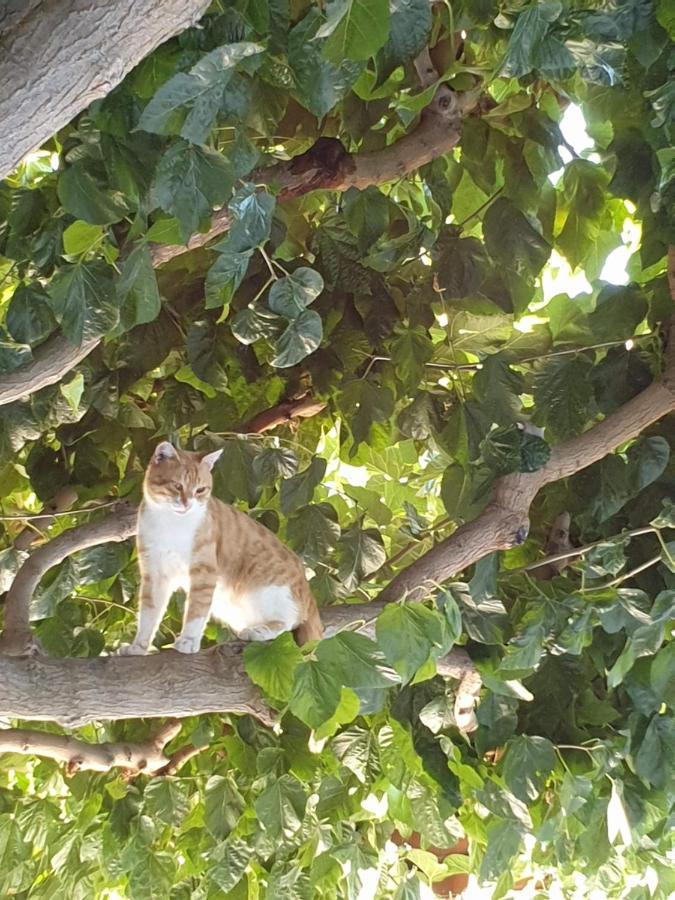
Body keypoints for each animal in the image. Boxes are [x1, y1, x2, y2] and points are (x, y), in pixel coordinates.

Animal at [120, 442, 324, 652]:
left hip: (267, 588)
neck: (170, 524)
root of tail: (307, 590)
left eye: (200, 490)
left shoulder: (204, 572)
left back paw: (259, 631)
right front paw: (138, 647)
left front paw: (188, 640)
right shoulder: (155, 573)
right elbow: (148, 615)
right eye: (177, 486)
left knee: (289, 621)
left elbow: (196, 610)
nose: (188, 503)